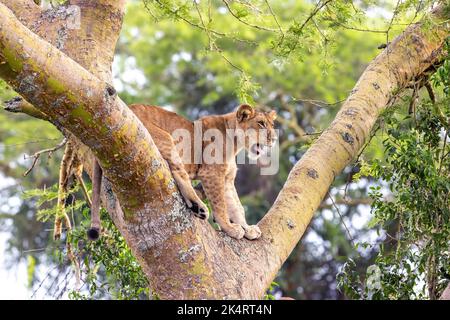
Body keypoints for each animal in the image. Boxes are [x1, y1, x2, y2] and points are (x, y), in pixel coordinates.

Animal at [87, 104, 276, 240]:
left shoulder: (227, 180)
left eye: (272, 125)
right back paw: (199, 207)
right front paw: (229, 228)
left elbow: (236, 206)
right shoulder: (212, 174)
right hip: (164, 138)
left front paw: (247, 228)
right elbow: (220, 205)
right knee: (178, 171)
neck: (235, 143)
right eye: (261, 124)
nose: (274, 139)